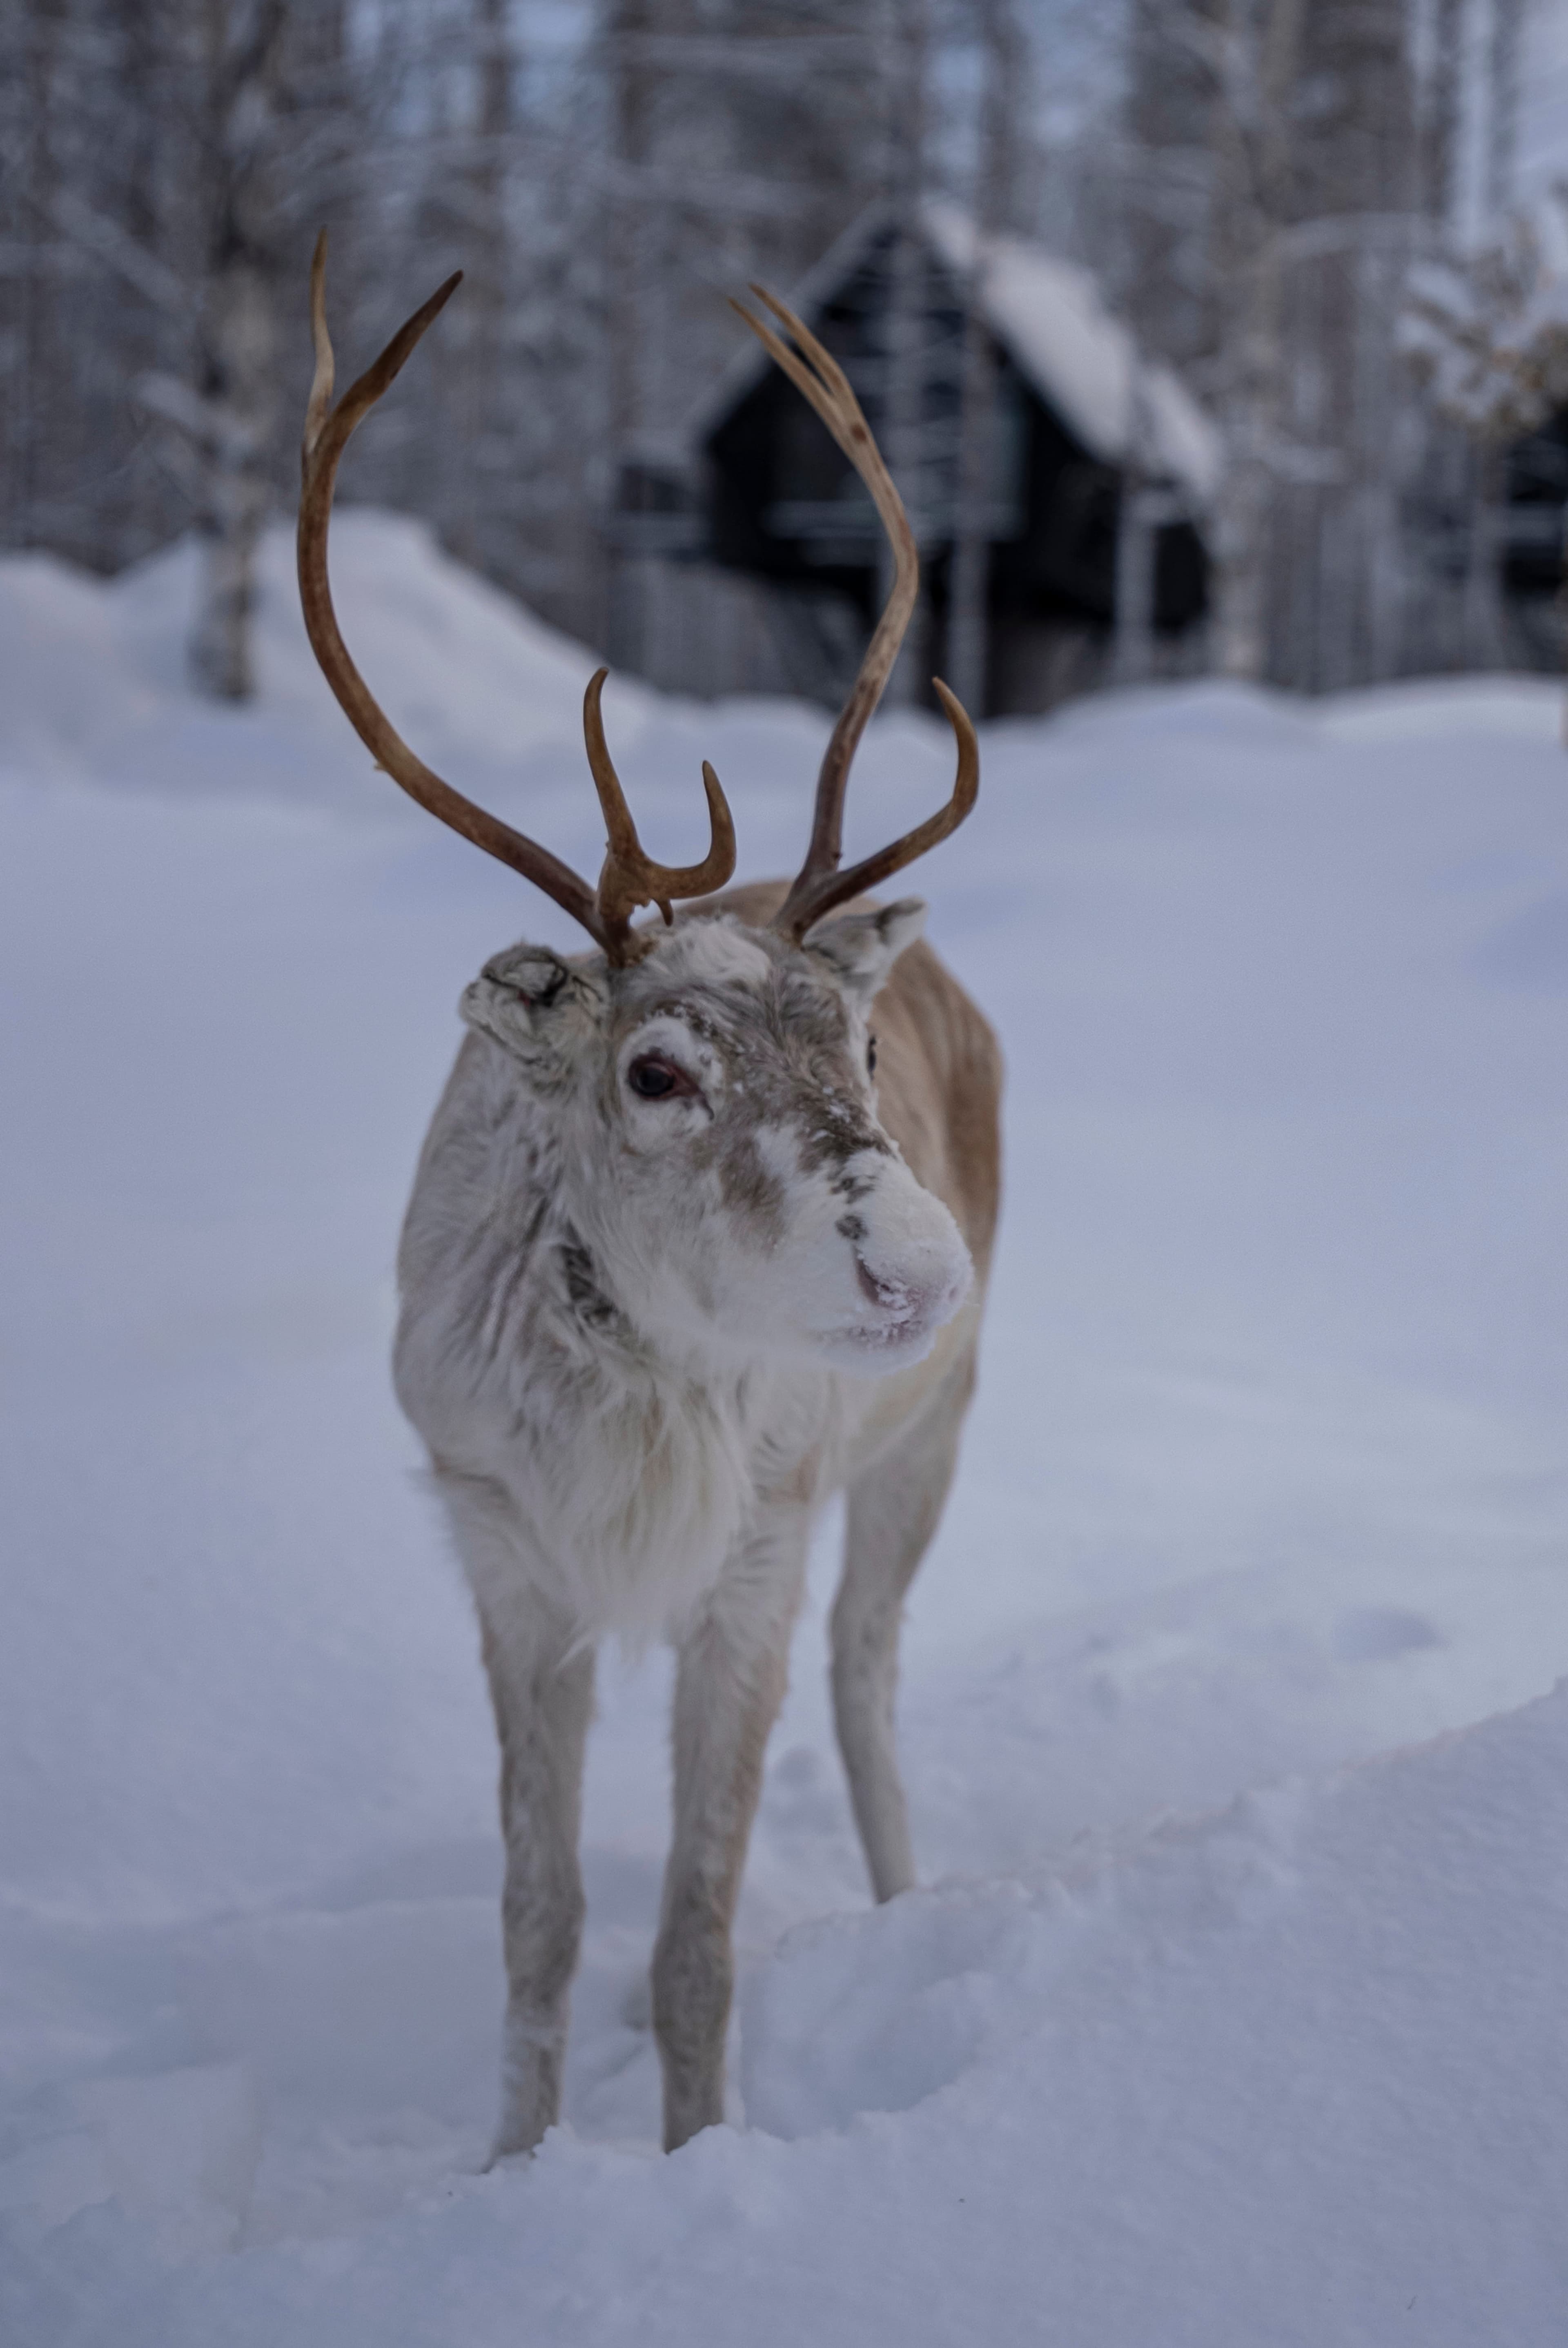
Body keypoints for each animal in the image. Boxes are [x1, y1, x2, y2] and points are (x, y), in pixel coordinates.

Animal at [296, 233, 1002, 2158]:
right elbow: (538, 1921)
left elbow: (700, 1929)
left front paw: (692, 2154)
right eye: (656, 1072)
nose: (923, 1265)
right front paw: (512, 2161)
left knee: (872, 1673)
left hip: (927, 1438)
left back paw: (909, 1903)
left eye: (847, 1037)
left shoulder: (751, 1555)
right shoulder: (504, 1557)